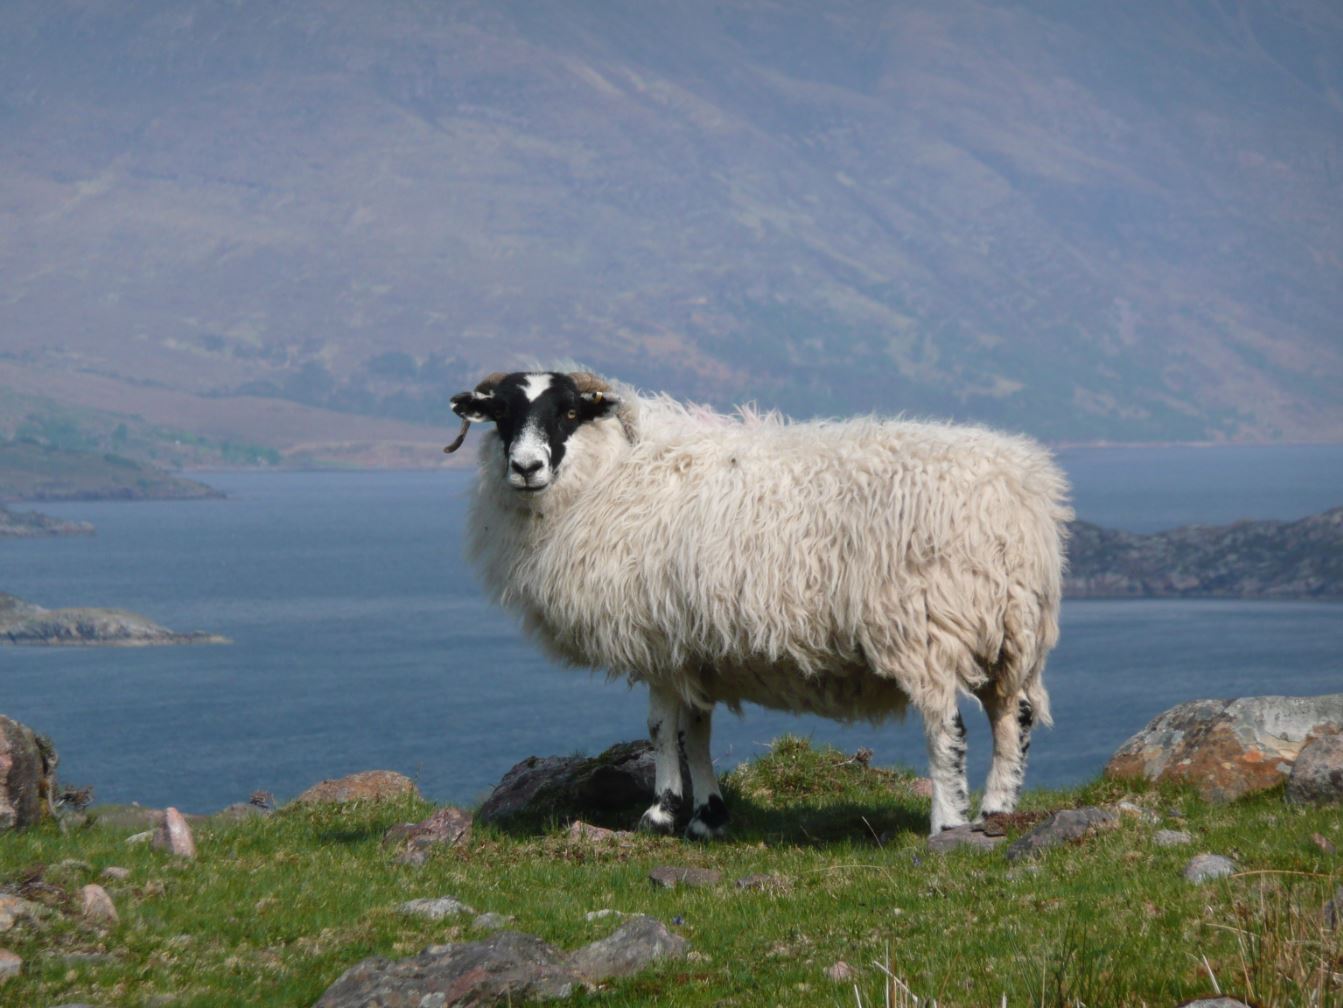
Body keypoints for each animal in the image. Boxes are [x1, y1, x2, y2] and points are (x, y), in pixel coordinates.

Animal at [445, 367, 1074, 837]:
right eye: (501, 413)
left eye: (570, 412)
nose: (526, 468)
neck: (607, 475)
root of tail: (1016, 495)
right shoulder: (693, 643)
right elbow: (695, 728)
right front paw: (708, 816)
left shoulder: (656, 635)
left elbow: (660, 726)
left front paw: (661, 813)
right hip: (1012, 629)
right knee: (1013, 714)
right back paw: (996, 810)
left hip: (927, 623)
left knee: (948, 725)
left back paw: (947, 822)